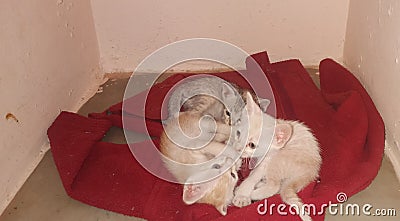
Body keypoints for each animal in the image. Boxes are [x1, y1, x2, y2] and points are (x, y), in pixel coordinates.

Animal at [231, 93, 322, 221]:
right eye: (238, 133)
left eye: (252, 145)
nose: (237, 148)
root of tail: (311, 172)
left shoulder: (269, 159)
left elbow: (254, 176)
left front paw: (242, 195)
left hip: (279, 160)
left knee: (275, 186)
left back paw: (252, 193)